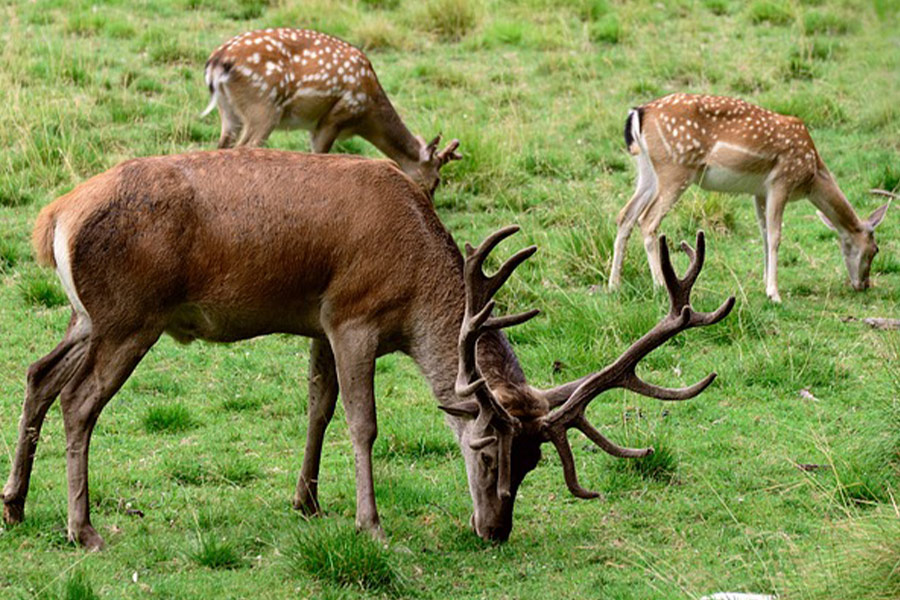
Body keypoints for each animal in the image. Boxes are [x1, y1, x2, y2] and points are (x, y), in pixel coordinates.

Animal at [2, 147, 733, 549]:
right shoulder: (352, 317)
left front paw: (307, 501)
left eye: (533, 465)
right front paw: (371, 524)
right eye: (486, 451)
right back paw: (83, 530)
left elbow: (318, 408)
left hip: (87, 315)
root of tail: (55, 217)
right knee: (79, 401)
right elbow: (362, 423)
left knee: (38, 374)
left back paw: (14, 505)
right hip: (131, 315)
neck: (413, 291)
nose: (495, 530)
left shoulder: (318, 323)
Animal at [201, 28, 461, 195]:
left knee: (222, 146)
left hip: (229, 112)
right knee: (244, 147)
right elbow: (320, 156)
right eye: (436, 181)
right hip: (263, 107)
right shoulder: (334, 118)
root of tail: (216, 63)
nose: (428, 203)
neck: (366, 114)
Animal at [608, 93, 889, 302]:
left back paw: (614, 285)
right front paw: (774, 293)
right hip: (675, 169)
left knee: (625, 215)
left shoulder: (759, 191)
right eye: (875, 250)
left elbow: (764, 235)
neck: (812, 175)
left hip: (647, 170)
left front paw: (765, 284)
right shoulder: (781, 181)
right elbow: (775, 236)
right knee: (647, 220)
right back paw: (659, 286)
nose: (864, 285)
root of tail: (638, 113)